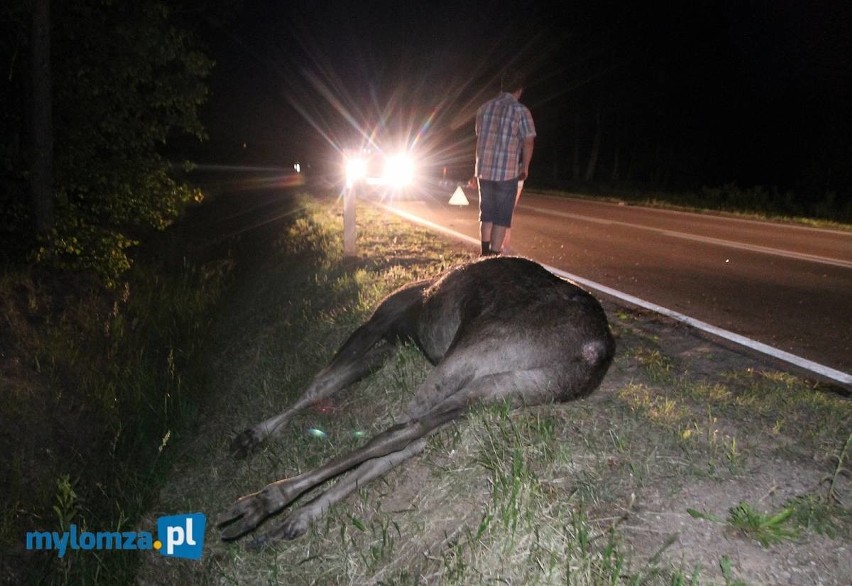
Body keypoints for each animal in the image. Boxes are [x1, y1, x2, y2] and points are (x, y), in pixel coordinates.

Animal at [221, 254, 612, 544]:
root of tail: (593, 350)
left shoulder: (380, 320)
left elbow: (320, 384)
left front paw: (254, 434)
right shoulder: (392, 343)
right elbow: (333, 381)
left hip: (475, 351)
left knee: (399, 430)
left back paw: (265, 501)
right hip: (509, 387)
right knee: (410, 437)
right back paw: (300, 515)